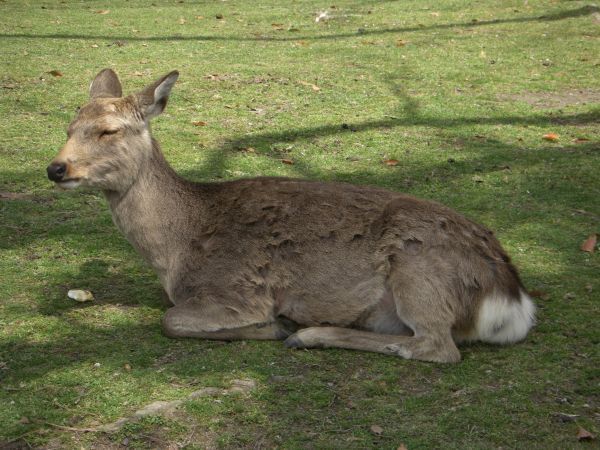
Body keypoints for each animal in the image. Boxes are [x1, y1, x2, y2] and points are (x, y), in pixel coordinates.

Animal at [47, 71, 536, 366]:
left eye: (108, 130)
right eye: (68, 127)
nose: (56, 168)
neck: (175, 251)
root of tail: (511, 297)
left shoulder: (235, 292)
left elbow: (171, 321)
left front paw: (274, 325)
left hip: (421, 273)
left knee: (437, 346)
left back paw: (307, 334)